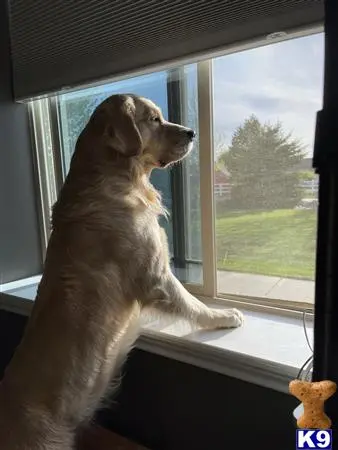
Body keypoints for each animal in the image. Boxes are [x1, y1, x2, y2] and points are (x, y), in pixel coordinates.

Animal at [0, 93, 243, 448]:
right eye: (154, 119)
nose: (191, 133)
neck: (115, 178)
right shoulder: (155, 274)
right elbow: (190, 302)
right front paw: (223, 315)